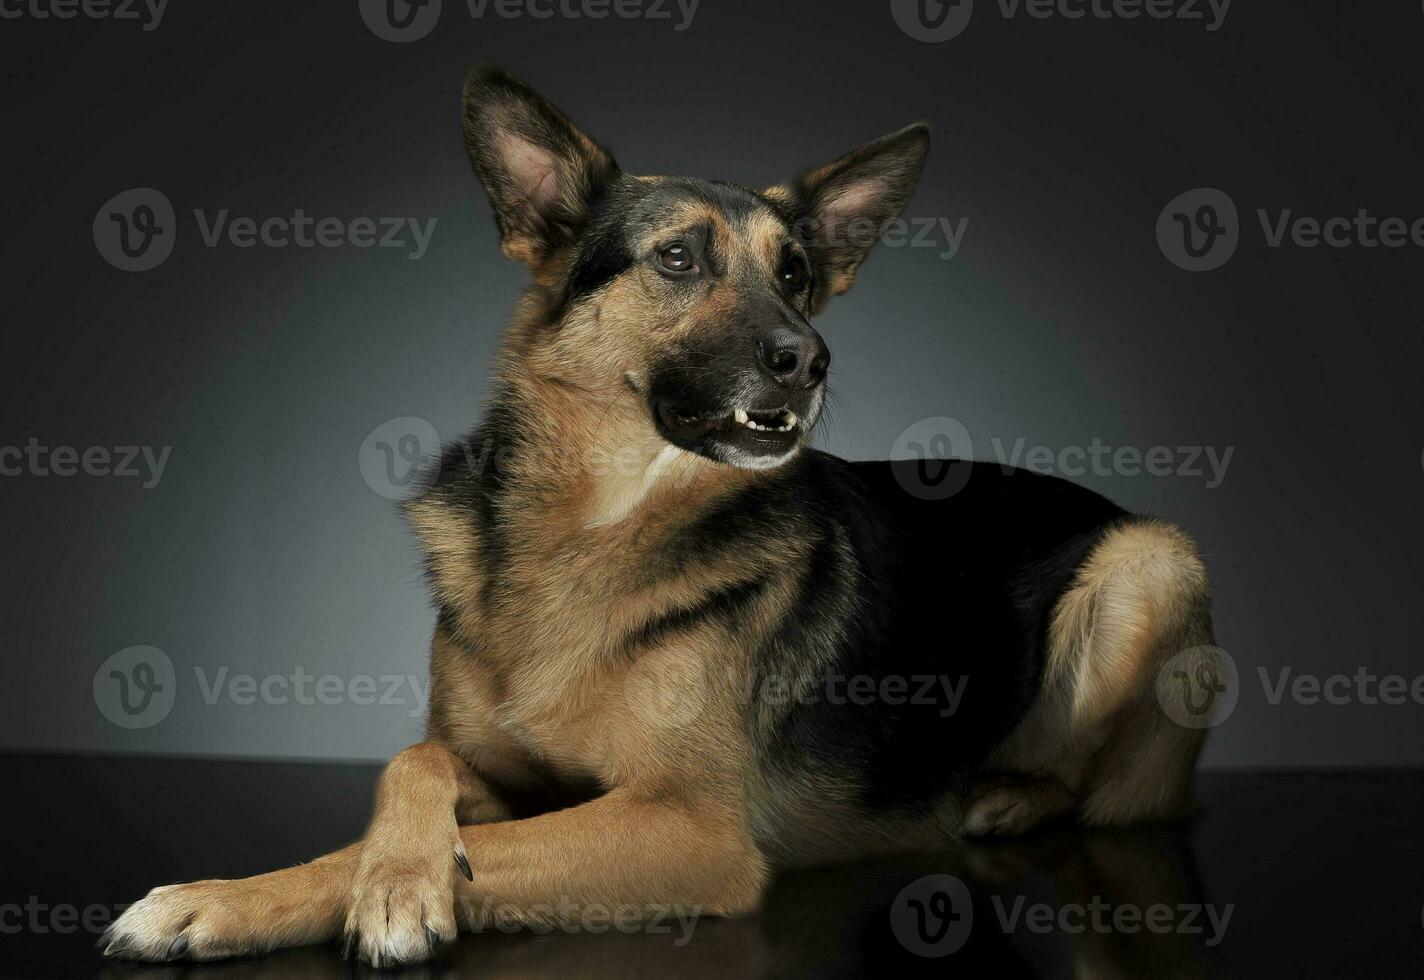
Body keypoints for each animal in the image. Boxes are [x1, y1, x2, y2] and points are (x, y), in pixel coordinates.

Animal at [100, 66, 1218, 962]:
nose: (808, 358)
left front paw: (398, 892)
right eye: (678, 259)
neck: (595, 526)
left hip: (1150, 562)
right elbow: (406, 769)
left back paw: (1004, 792)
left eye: (795, 272)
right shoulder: (505, 775)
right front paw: (239, 895)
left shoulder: (689, 830)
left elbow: (477, 850)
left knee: (1092, 780)